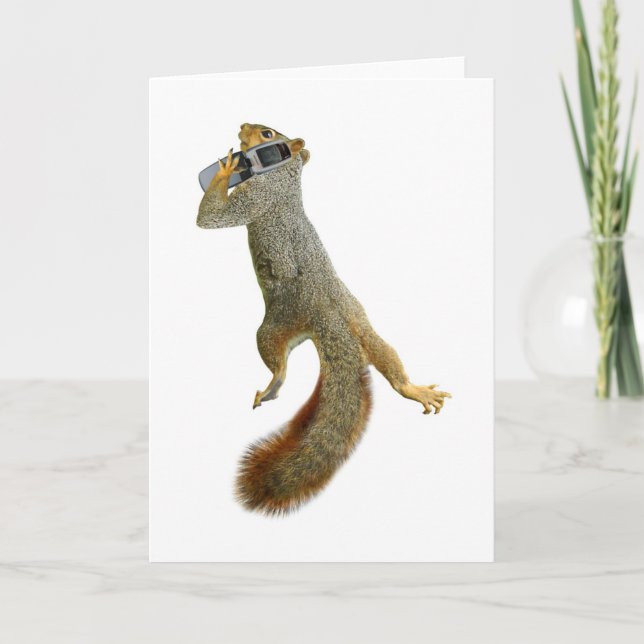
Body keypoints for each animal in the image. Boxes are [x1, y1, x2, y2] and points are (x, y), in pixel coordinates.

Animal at [197, 123, 451, 516]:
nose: (242, 127)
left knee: (277, 364)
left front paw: (223, 172)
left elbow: (214, 218)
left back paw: (270, 387)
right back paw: (414, 389)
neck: (285, 172)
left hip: (271, 328)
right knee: (388, 361)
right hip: (362, 323)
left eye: (266, 132)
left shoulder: (256, 196)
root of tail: (328, 318)